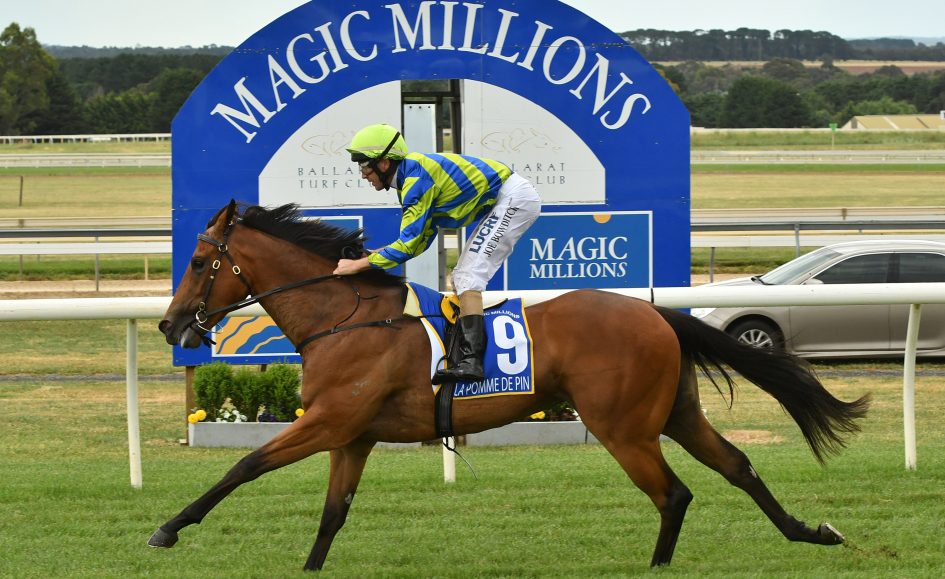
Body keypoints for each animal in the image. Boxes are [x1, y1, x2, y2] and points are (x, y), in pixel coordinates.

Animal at [149, 200, 870, 571]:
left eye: (198, 261)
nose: (168, 322)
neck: (346, 317)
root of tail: (654, 313)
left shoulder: (327, 421)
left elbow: (244, 465)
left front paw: (168, 529)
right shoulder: (352, 435)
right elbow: (332, 514)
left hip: (623, 426)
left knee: (674, 493)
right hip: (674, 413)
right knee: (737, 466)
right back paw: (812, 532)